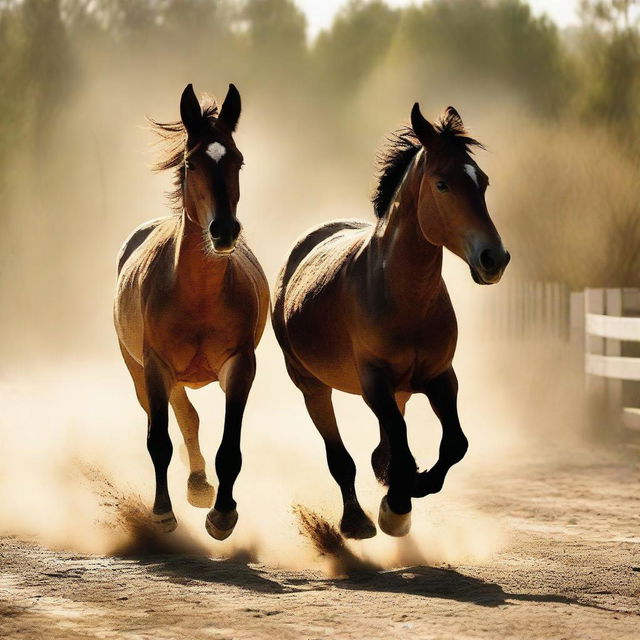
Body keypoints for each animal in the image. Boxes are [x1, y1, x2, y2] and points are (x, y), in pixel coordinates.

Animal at [116, 85, 268, 544]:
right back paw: (194, 486)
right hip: (140, 370)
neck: (197, 295)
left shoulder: (240, 365)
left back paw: (201, 488)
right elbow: (160, 440)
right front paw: (162, 514)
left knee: (190, 418)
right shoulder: (154, 365)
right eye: (191, 162)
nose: (224, 230)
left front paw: (222, 516)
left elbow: (230, 447)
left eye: (237, 159)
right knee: (181, 418)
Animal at [274, 104, 510, 540]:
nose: (494, 259)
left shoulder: (440, 376)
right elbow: (398, 441)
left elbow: (454, 443)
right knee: (342, 458)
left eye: (482, 181)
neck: (405, 299)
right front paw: (397, 504)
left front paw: (412, 486)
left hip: (401, 389)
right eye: (441, 184)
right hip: (312, 386)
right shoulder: (374, 381)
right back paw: (357, 521)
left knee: (384, 446)